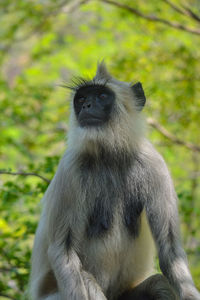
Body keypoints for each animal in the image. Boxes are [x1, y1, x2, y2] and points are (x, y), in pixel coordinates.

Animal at [29, 62, 200, 300]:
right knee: (86, 280)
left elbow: (170, 249)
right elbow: (63, 250)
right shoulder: (70, 168)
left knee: (159, 284)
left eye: (102, 95)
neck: (109, 154)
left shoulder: (154, 164)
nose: (87, 105)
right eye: (82, 99)